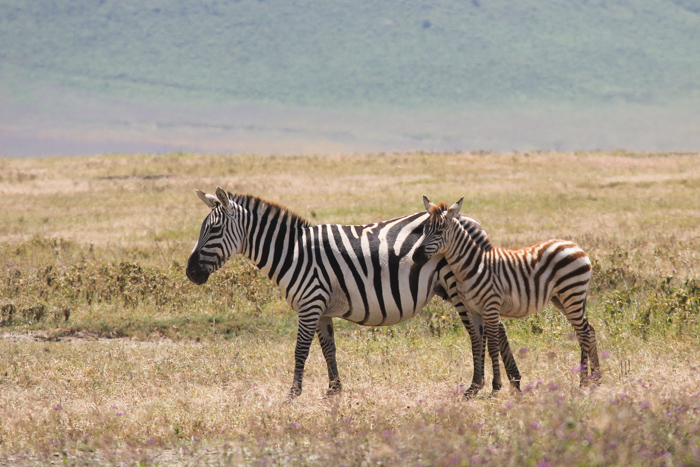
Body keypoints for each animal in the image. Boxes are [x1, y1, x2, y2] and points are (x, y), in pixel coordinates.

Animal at [183, 186, 524, 398]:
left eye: (214, 229)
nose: (190, 272)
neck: (293, 252)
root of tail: (470, 220)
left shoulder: (309, 303)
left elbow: (300, 350)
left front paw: (293, 394)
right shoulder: (320, 308)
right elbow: (328, 349)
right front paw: (334, 390)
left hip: (458, 287)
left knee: (480, 332)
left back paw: (478, 386)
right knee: (495, 328)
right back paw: (513, 382)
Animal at [416, 196, 600, 396]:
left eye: (439, 231)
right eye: (424, 229)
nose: (417, 256)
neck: (473, 265)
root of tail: (575, 245)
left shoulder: (490, 307)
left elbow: (493, 346)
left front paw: (495, 387)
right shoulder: (474, 310)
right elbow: (477, 344)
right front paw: (474, 387)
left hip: (572, 293)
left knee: (585, 333)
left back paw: (588, 382)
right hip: (562, 299)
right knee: (587, 331)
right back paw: (592, 380)